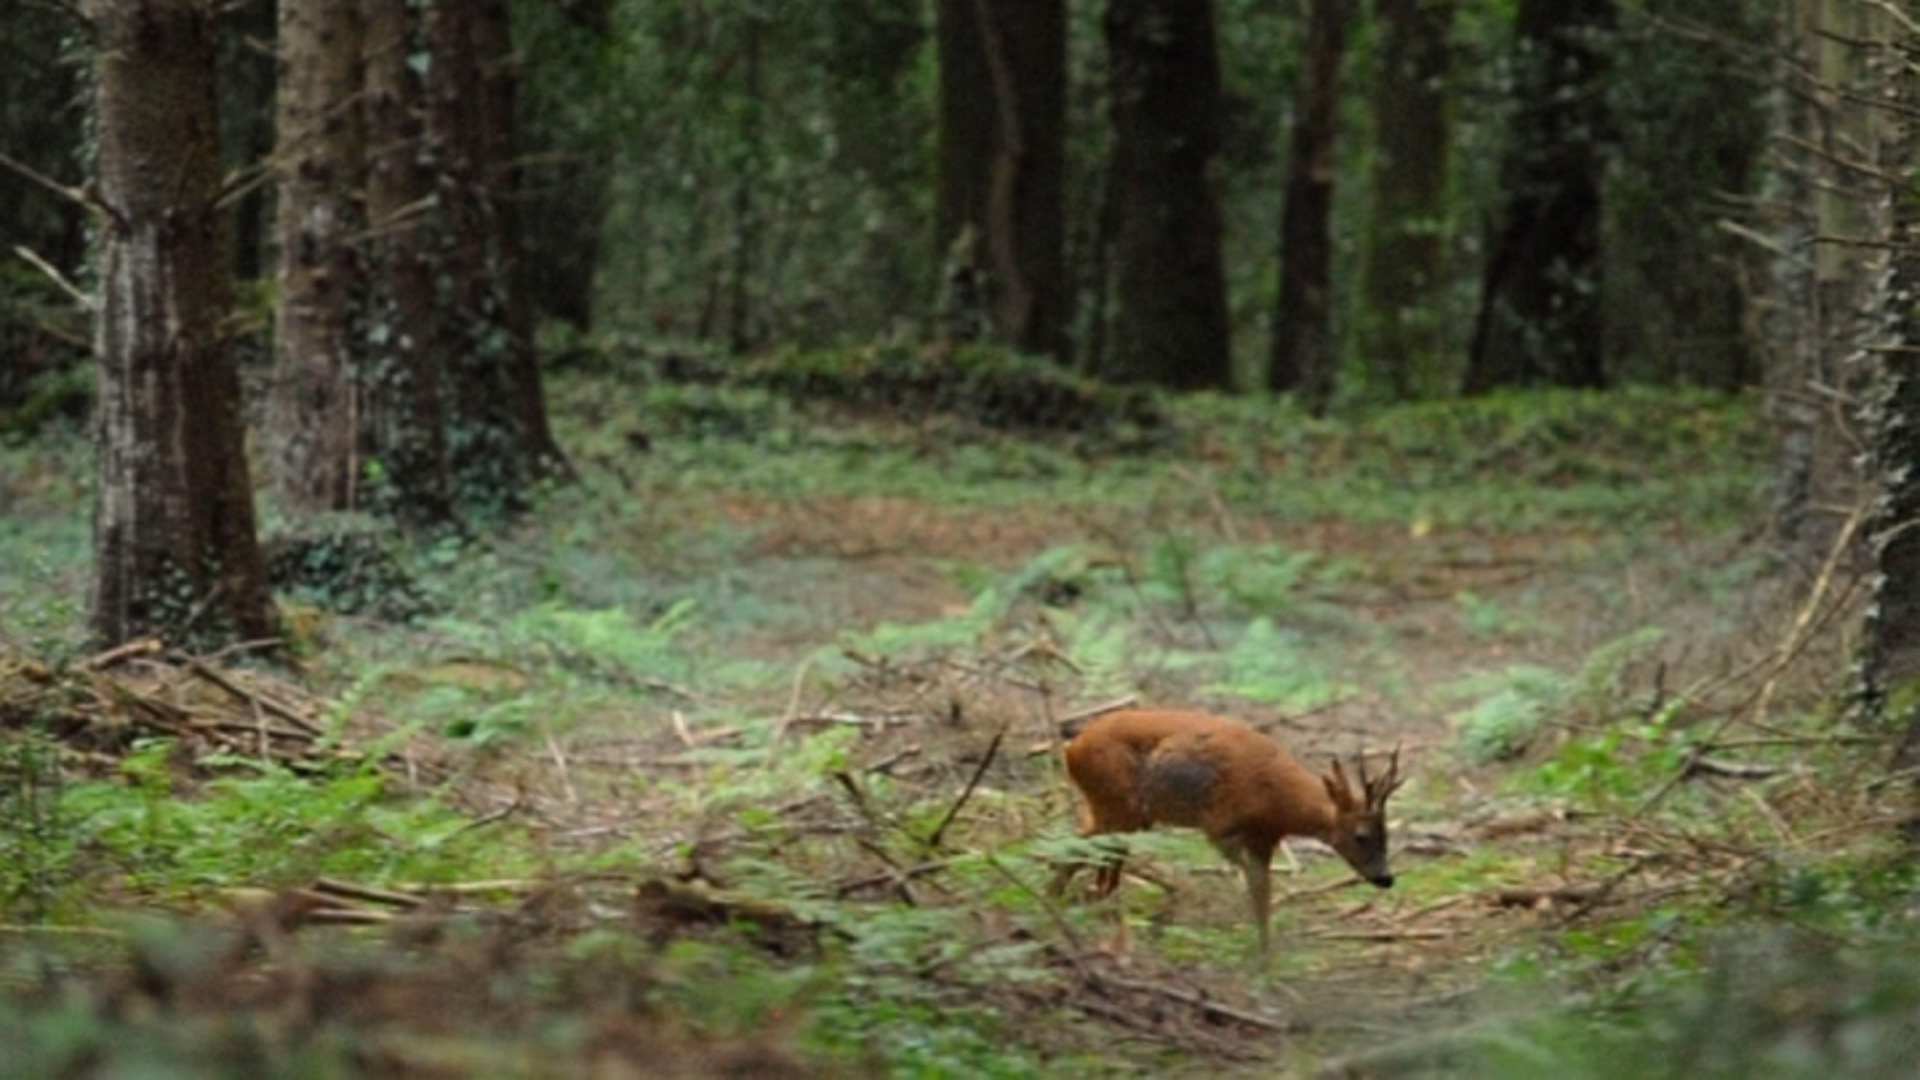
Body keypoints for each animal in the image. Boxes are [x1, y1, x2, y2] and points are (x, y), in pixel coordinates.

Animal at [1059, 707, 1405, 949]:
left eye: (1387, 834)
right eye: (1360, 836)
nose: (1385, 878)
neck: (1278, 798)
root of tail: (1072, 748)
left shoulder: (1265, 839)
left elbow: (1262, 897)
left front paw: (1267, 966)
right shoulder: (1219, 825)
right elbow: (1253, 888)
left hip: (1119, 812)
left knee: (1080, 853)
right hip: (1119, 805)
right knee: (1096, 863)